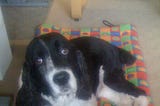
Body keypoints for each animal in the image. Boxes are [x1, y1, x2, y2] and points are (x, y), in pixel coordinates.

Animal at [15, 32, 148, 106]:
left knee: (141, 93)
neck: (64, 100)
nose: (61, 78)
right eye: (38, 61)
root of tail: (112, 47)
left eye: (64, 51)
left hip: (111, 78)